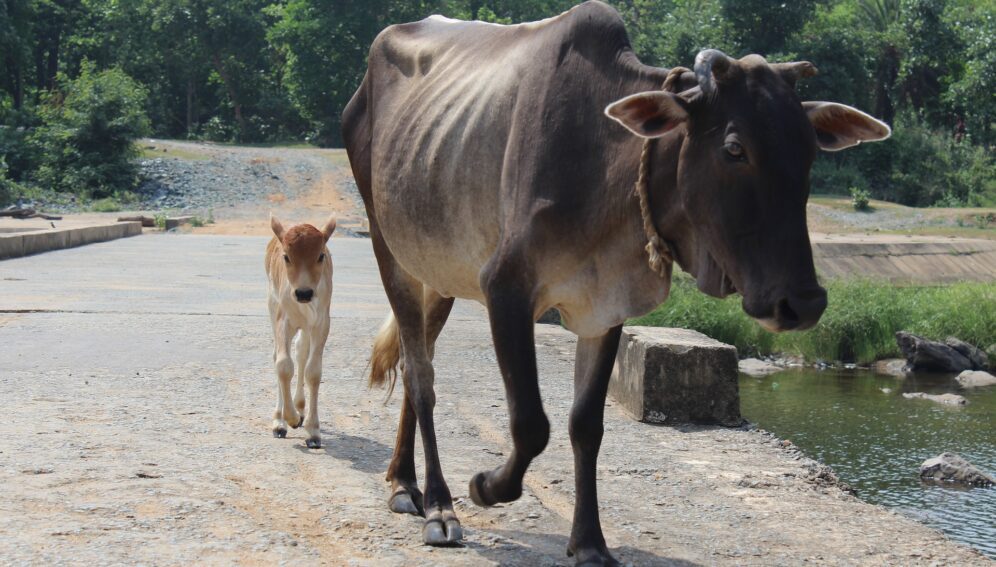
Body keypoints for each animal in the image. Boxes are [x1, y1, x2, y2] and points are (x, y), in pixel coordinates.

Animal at [265, 214, 336, 449]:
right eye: (286, 256)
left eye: (320, 255)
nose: (304, 293)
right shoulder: (282, 320)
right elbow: (283, 365)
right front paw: (289, 419)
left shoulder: (321, 323)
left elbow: (313, 372)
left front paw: (313, 432)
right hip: (272, 308)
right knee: (279, 356)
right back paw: (280, 420)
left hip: (305, 327)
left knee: (301, 351)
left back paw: (301, 407)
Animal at [342, 1, 890, 563]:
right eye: (734, 148)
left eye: (809, 151)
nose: (804, 301)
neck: (605, 166)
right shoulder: (505, 288)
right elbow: (530, 424)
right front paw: (485, 487)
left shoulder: (604, 308)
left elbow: (586, 425)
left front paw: (589, 542)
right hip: (390, 250)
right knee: (421, 376)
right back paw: (436, 504)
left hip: (440, 273)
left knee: (417, 363)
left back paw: (403, 480)